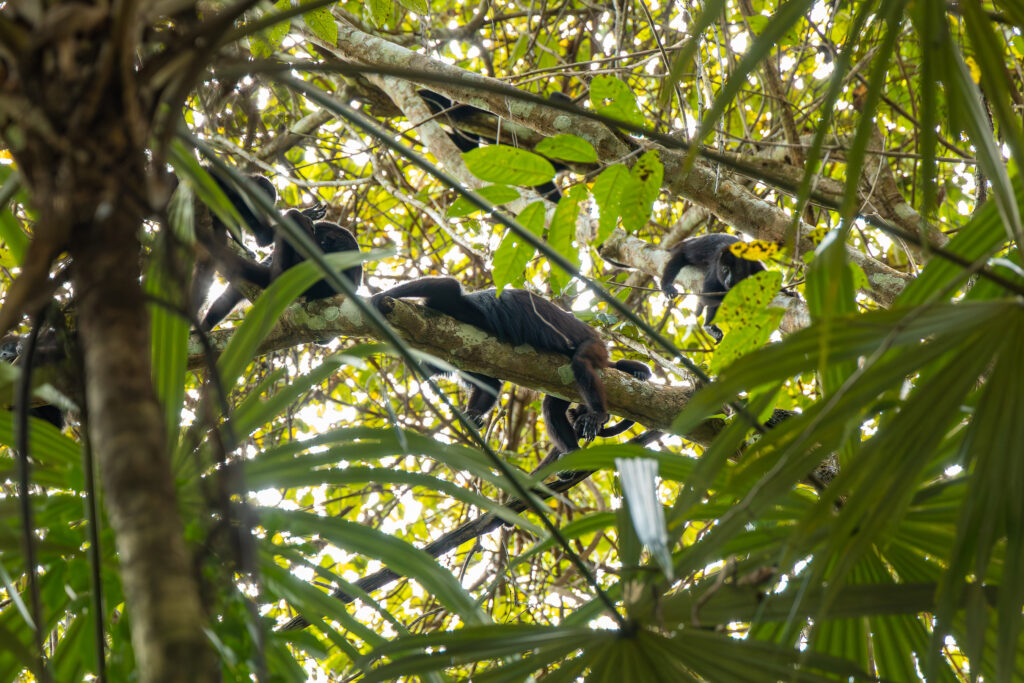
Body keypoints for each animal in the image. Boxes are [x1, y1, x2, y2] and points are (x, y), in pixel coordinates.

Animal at [369, 277, 618, 441]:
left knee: (582, 363)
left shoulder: (452, 307)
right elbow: (490, 385)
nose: (424, 366)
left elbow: (446, 285)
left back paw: (598, 414)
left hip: (594, 345)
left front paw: (376, 299)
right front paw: (473, 416)